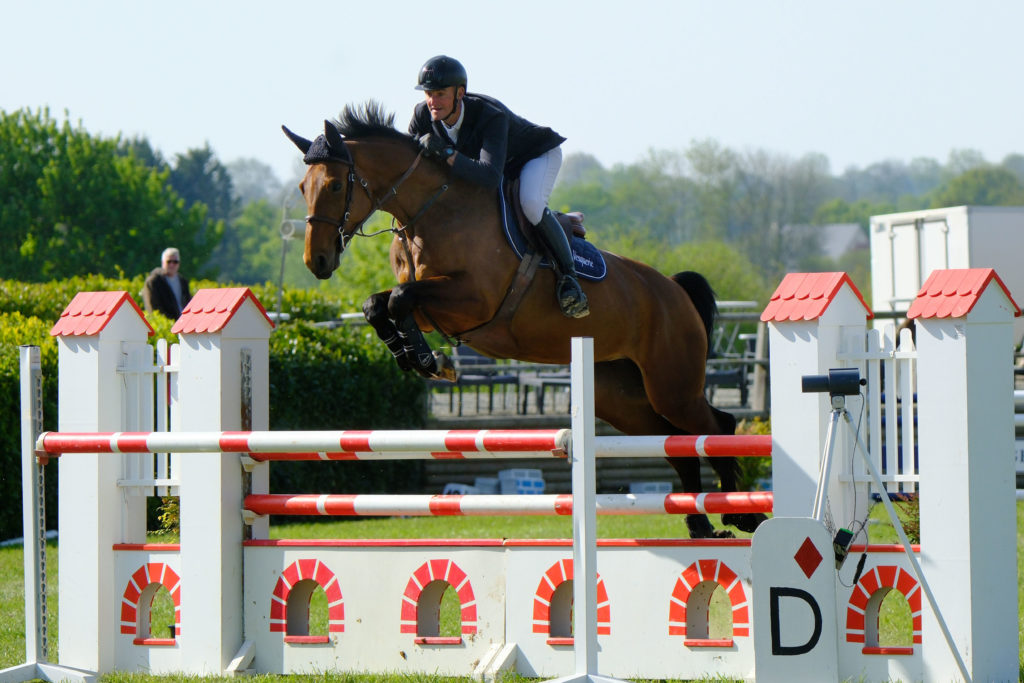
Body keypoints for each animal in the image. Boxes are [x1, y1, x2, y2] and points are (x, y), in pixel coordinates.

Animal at [283, 102, 765, 538]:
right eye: (304, 186)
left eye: (334, 185)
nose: (317, 261)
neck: (431, 213)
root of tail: (675, 290)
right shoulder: (433, 306)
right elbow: (378, 304)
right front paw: (418, 358)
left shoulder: (472, 300)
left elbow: (399, 299)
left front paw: (429, 361)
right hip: (624, 397)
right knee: (676, 443)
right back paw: (701, 525)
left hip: (672, 384)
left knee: (717, 427)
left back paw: (743, 514)